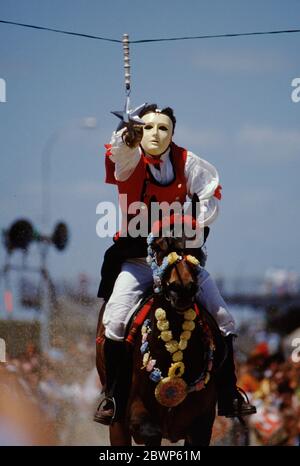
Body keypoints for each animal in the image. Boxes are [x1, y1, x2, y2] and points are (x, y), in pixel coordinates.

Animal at [95, 231, 224, 446]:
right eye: (157, 247)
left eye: (195, 245)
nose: (182, 289)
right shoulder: (136, 413)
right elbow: (150, 430)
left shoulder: (201, 426)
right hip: (117, 422)